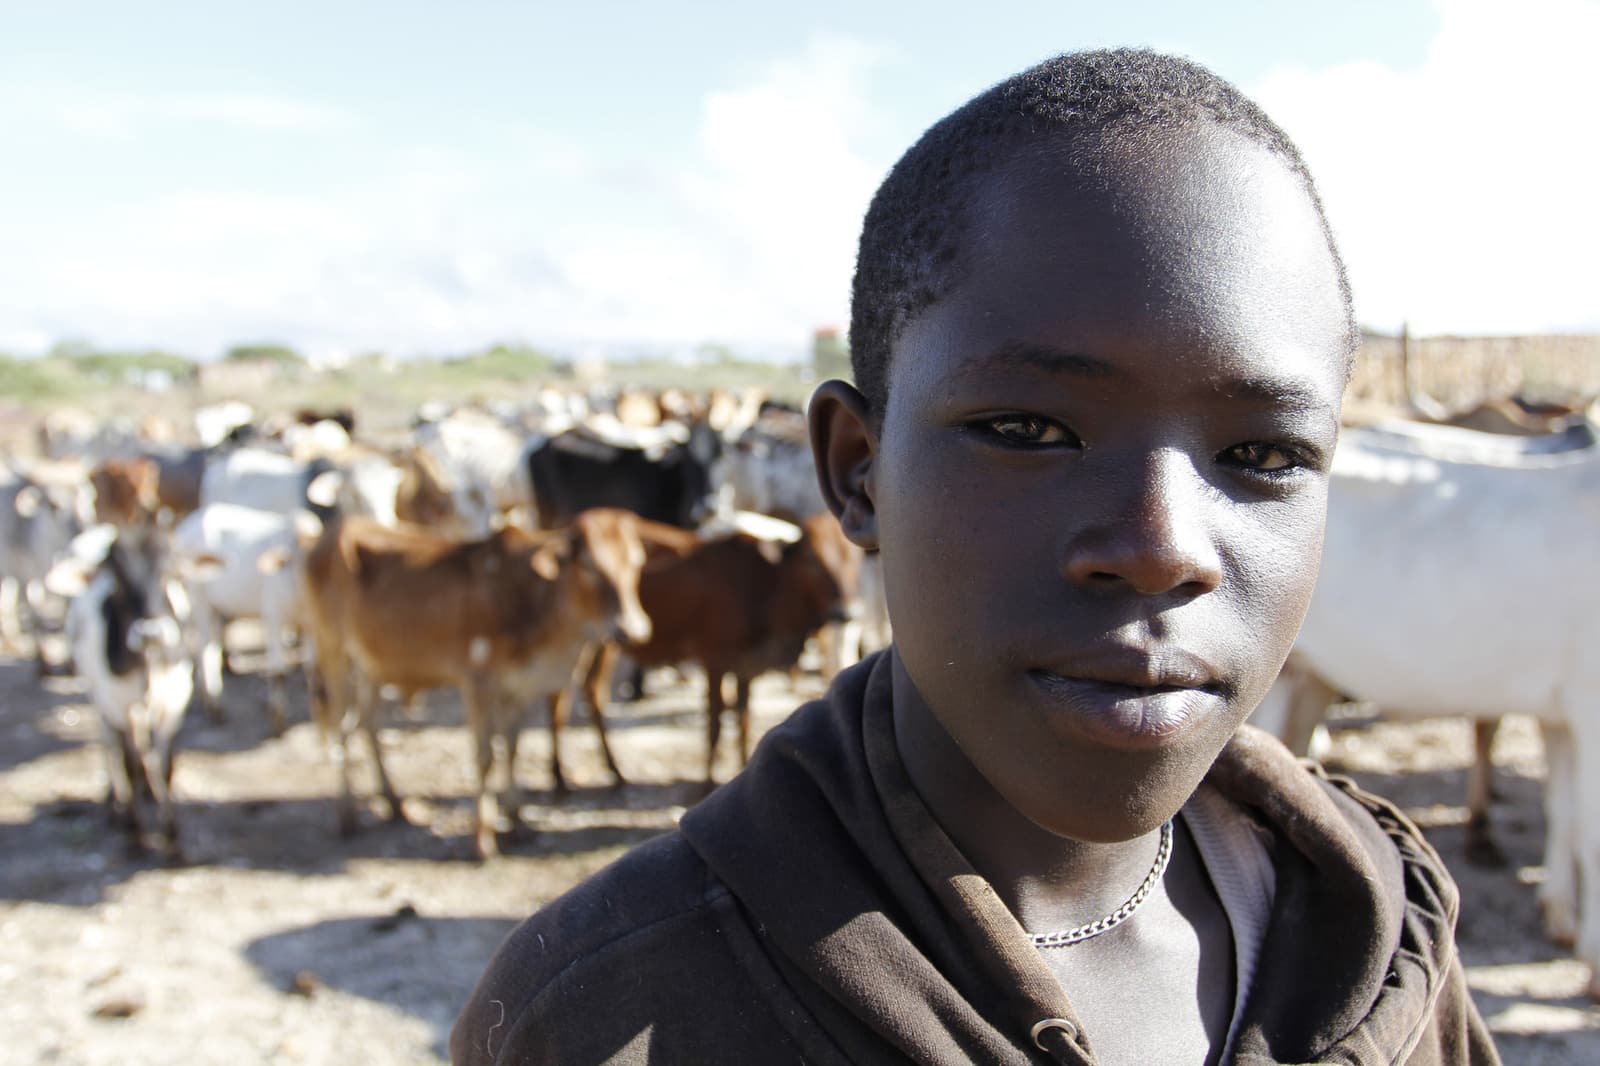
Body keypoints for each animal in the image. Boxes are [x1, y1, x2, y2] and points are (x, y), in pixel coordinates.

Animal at [300, 508, 651, 859]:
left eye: (635, 563)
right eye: (589, 566)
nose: (633, 628)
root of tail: (335, 529)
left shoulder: (518, 687)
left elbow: (512, 749)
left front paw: (518, 821)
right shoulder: (478, 680)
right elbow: (485, 757)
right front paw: (484, 838)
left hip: (371, 664)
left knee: (369, 723)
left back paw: (394, 803)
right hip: (333, 651)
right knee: (341, 727)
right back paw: (347, 815)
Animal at [572, 512, 860, 784]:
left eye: (852, 557)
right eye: (812, 559)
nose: (846, 612)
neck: (764, 586)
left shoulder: (745, 668)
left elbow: (744, 721)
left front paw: (743, 764)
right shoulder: (715, 660)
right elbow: (715, 724)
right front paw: (708, 782)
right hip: (601, 640)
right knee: (590, 691)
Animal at [1248, 419, 1600, 995]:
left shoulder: (1561, 711)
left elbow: (1565, 814)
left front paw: (1561, 916)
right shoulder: (1589, 701)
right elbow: (1589, 831)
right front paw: (1592, 959)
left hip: (1304, 675)